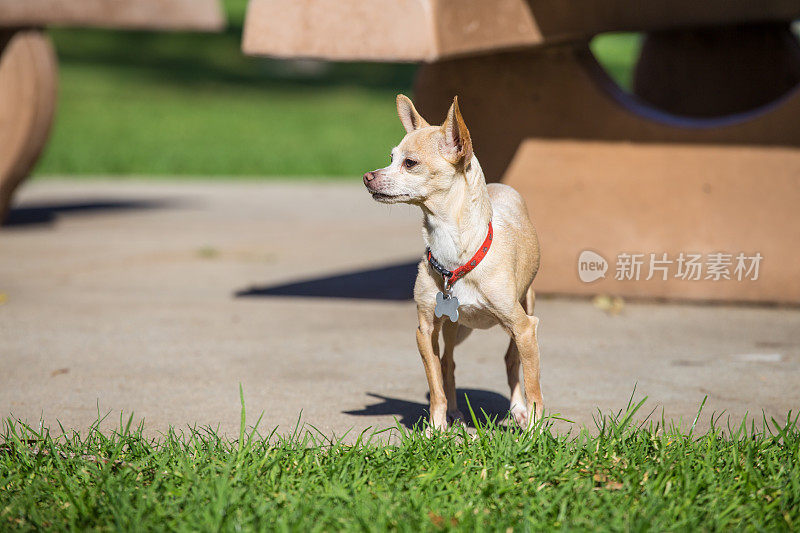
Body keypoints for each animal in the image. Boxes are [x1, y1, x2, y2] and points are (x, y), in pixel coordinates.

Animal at [364, 94, 544, 428]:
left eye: (409, 163)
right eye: (390, 158)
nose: (367, 177)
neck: (454, 253)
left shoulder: (525, 328)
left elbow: (533, 383)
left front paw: (536, 429)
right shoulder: (425, 330)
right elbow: (435, 383)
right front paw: (436, 427)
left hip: (523, 309)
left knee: (512, 360)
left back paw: (518, 409)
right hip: (454, 328)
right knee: (448, 363)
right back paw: (456, 413)